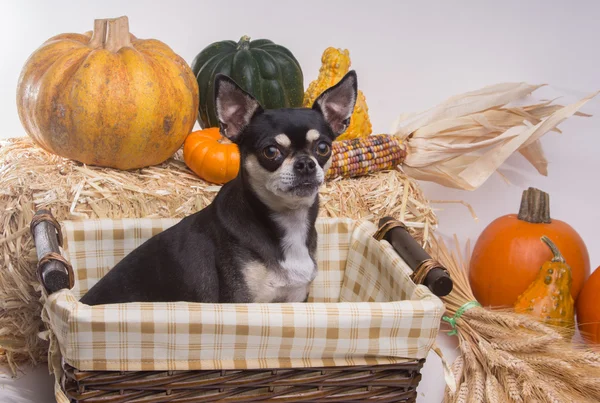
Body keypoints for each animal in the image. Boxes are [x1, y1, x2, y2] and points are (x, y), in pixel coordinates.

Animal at [78, 70, 356, 306]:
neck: (287, 221)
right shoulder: (242, 302)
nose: (306, 164)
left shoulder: (295, 299)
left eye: (323, 148)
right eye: (271, 151)